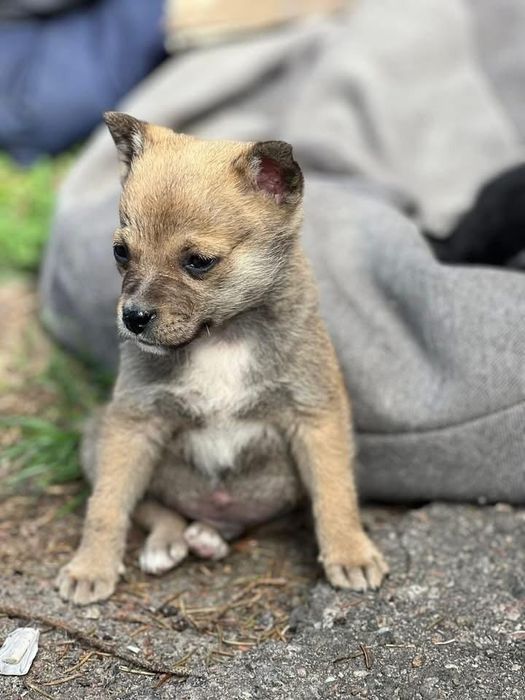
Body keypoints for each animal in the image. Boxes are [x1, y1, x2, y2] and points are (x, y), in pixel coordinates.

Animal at [56, 112, 388, 605]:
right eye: (121, 252)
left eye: (198, 261)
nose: (133, 317)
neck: (222, 336)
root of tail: (215, 517)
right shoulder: (133, 424)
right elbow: (109, 503)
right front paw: (91, 565)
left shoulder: (316, 418)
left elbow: (334, 493)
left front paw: (350, 553)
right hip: (98, 437)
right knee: (154, 506)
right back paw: (171, 541)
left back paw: (207, 536)